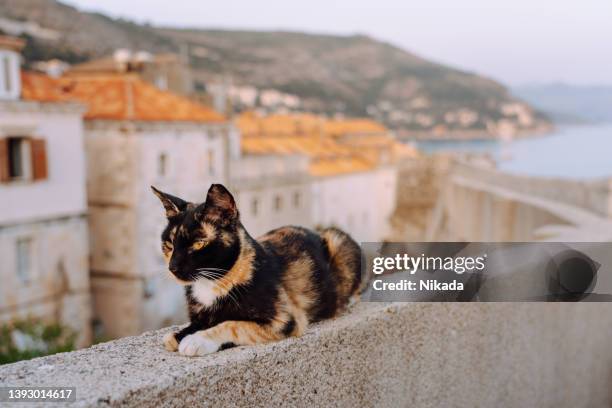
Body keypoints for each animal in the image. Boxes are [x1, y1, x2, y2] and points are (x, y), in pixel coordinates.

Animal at [152, 183, 360, 356]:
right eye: (169, 244)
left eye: (199, 244)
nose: (172, 267)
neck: (212, 282)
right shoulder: (200, 316)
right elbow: (174, 336)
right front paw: (180, 335)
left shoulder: (284, 319)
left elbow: (232, 324)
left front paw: (196, 341)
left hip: (338, 240)